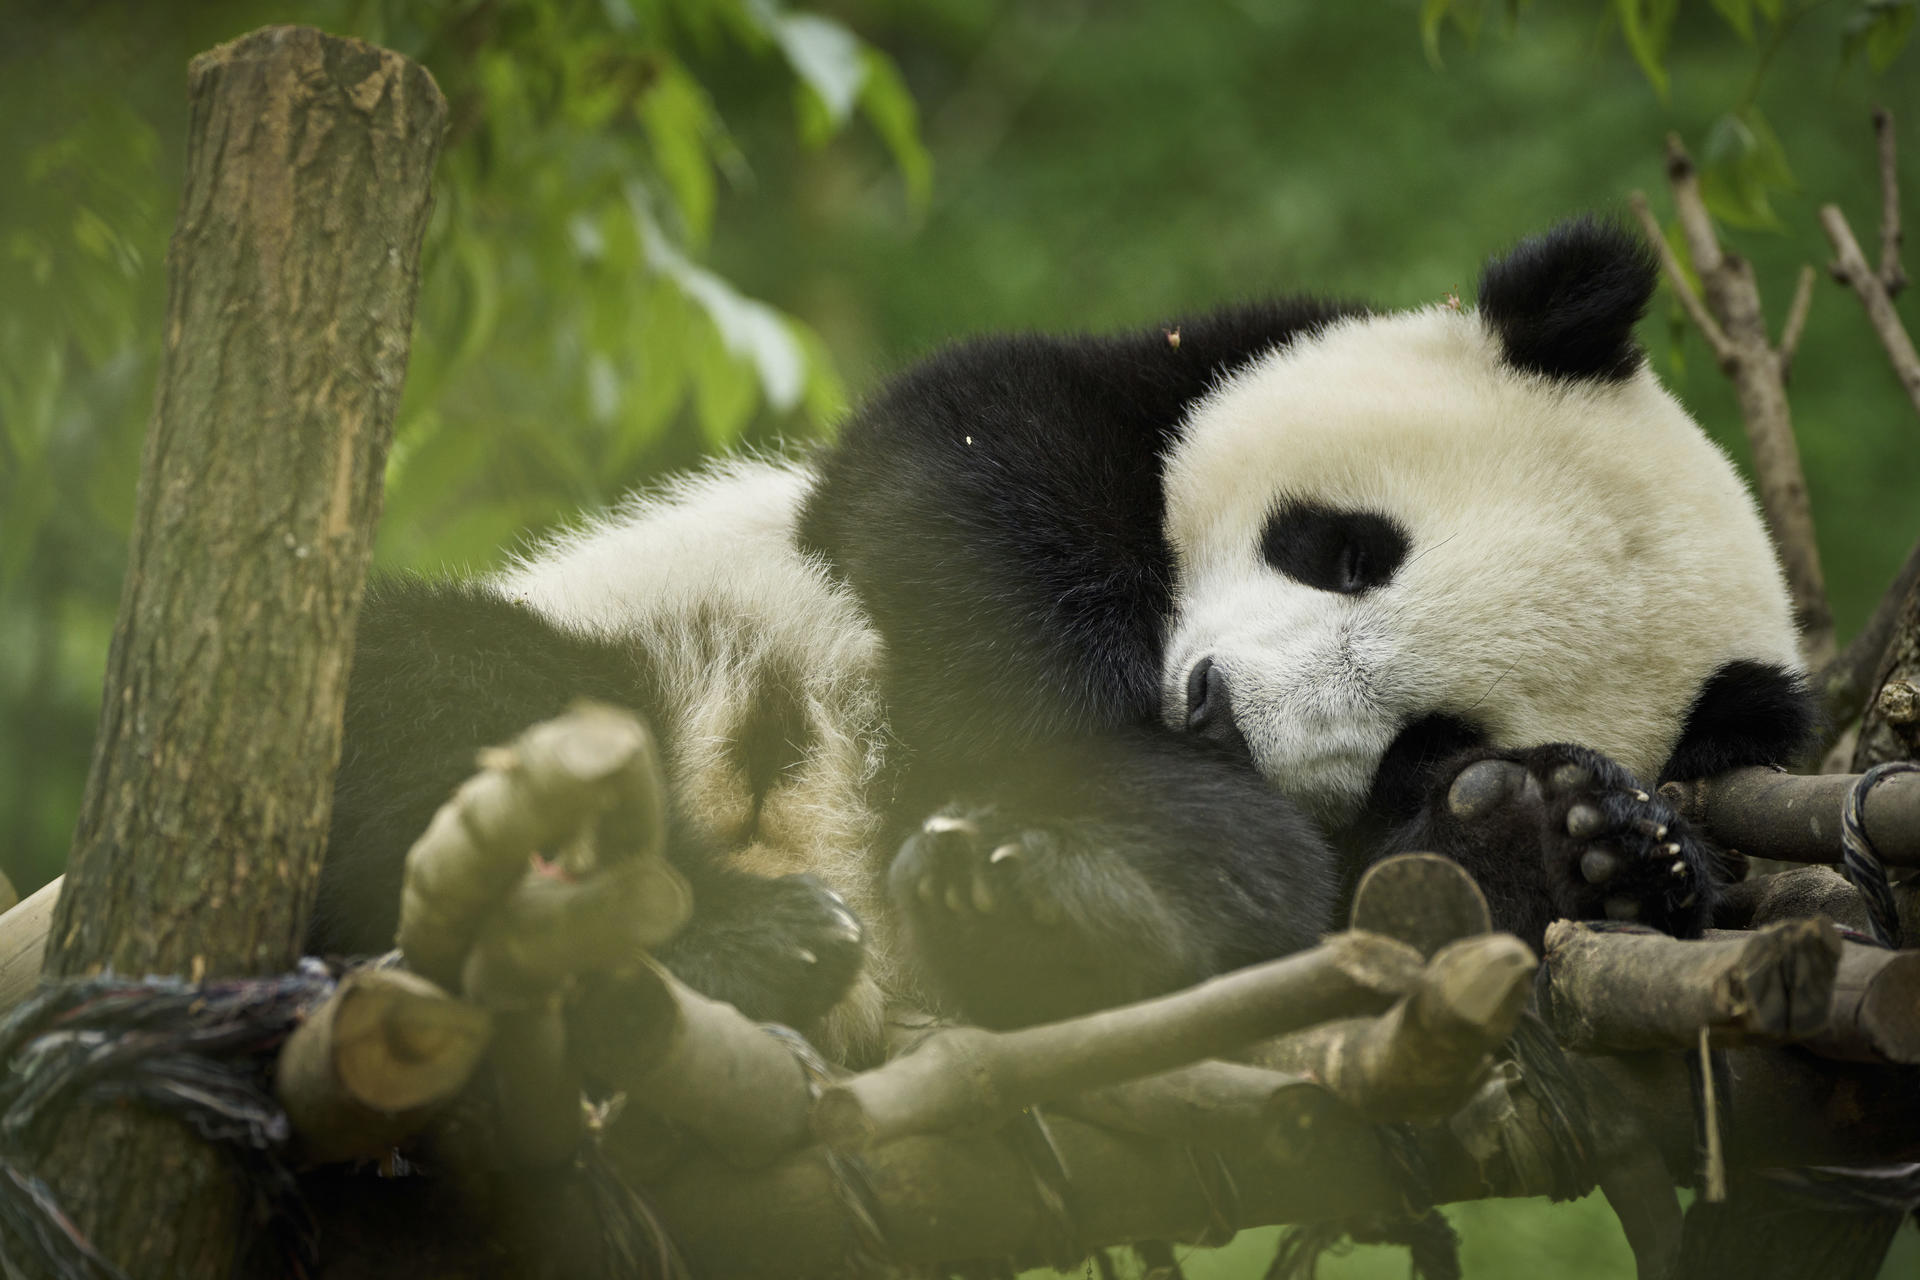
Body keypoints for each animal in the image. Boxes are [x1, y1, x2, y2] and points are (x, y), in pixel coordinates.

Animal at [312, 217, 1817, 1067]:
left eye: (1429, 736)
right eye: (1345, 548)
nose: (1212, 711)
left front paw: (1575, 837)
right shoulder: (1137, 384)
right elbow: (968, 474)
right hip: (624, 658)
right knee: (452, 700)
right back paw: (750, 933)